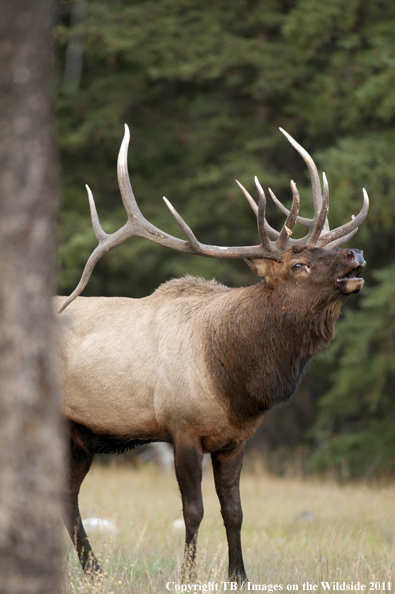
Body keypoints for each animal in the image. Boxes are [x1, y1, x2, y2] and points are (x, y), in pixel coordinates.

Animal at [58, 122, 368, 580]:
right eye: (298, 265)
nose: (356, 253)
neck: (234, 382)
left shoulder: (235, 440)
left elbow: (234, 512)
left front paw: (239, 575)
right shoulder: (182, 428)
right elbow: (193, 510)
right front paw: (187, 575)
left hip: (80, 437)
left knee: (66, 496)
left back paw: (95, 570)